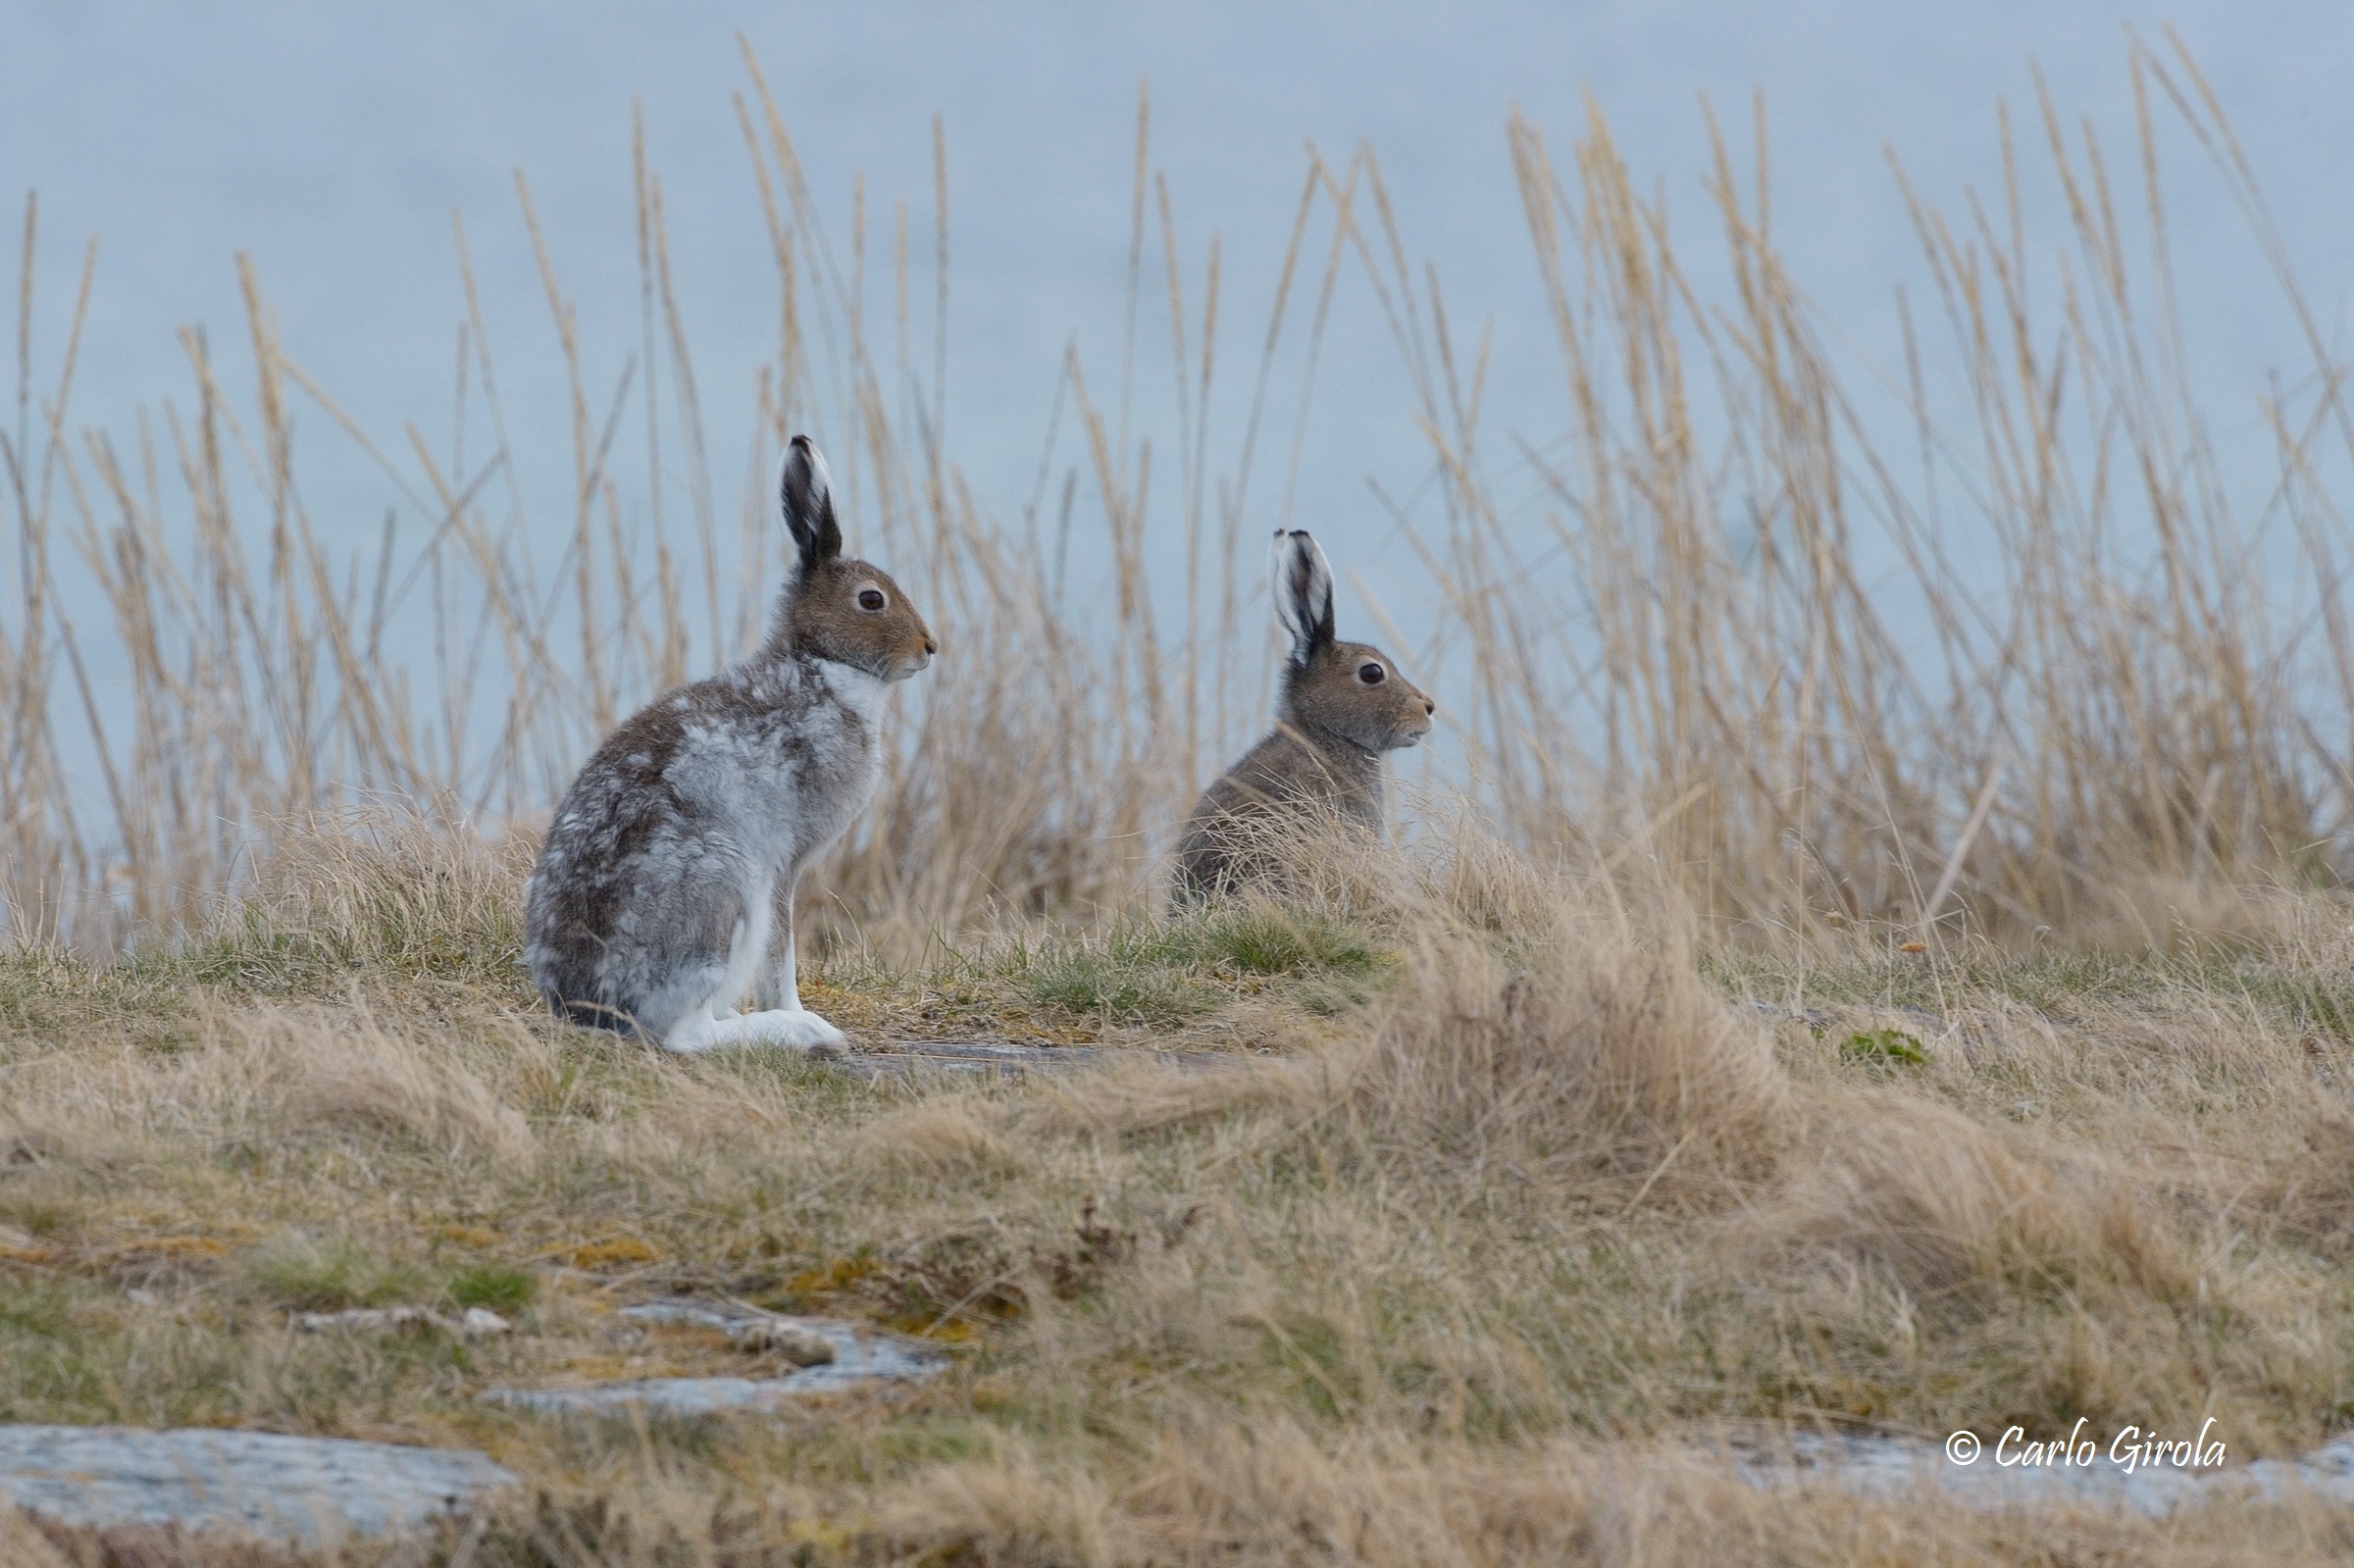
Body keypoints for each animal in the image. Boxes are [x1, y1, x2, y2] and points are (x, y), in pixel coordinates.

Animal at [523, 435, 936, 1053]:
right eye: (871, 600)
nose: (929, 647)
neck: (818, 664)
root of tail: (588, 1004)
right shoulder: (783, 867)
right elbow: (781, 957)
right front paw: (795, 1011)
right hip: (724, 890)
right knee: (684, 1034)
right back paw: (797, 1030)